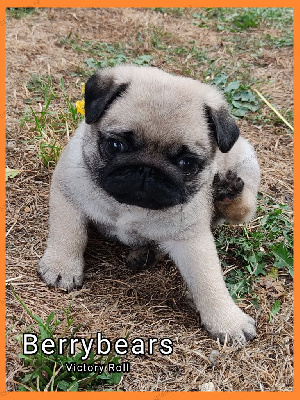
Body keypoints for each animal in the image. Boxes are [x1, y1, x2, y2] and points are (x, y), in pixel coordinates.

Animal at [38, 65, 260, 344]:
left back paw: (228, 194)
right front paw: (62, 267)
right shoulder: (68, 192)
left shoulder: (192, 239)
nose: (147, 170)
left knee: (243, 208)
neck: (128, 207)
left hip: (247, 163)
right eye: (115, 145)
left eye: (186, 163)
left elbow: (209, 281)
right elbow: (68, 234)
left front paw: (227, 321)